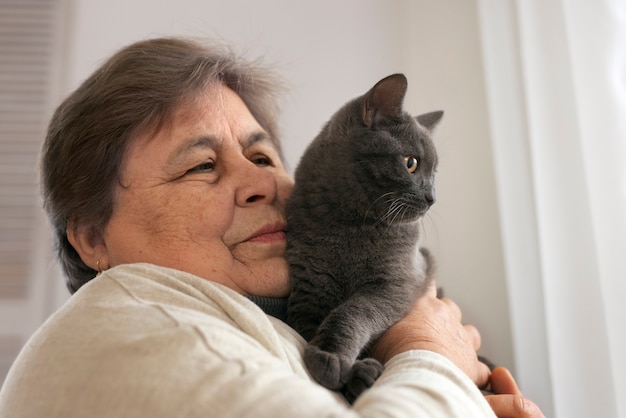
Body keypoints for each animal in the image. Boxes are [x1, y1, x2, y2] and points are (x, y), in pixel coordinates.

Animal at [286, 73, 442, 404]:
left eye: (435, 173)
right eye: (411, 163)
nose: (432, 198)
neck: (350, 225)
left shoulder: (396, 284)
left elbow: (354, 311)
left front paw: (333, 358)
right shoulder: (309, 287)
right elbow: (305, 325)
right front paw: (345, 366)